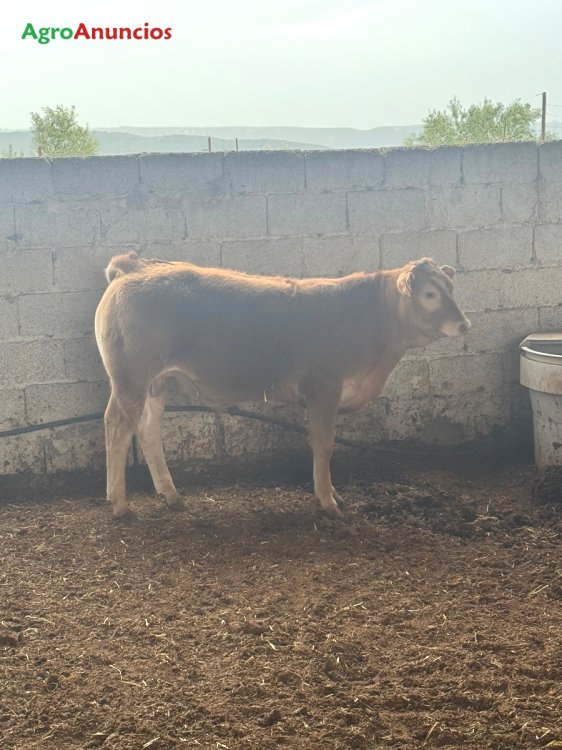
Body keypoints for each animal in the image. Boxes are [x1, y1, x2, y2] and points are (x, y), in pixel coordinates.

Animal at [94, 252, 471, 518]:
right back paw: (119, 505)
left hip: (154, 383)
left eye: (452, 289)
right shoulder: (323, 388)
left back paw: (171, 496)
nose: (464, 324)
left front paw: (332, 494)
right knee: (117, 426)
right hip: (130, 377)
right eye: (430, 294)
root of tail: (134, 268)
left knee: (147, 429)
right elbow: (324, 444)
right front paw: (328, 500)